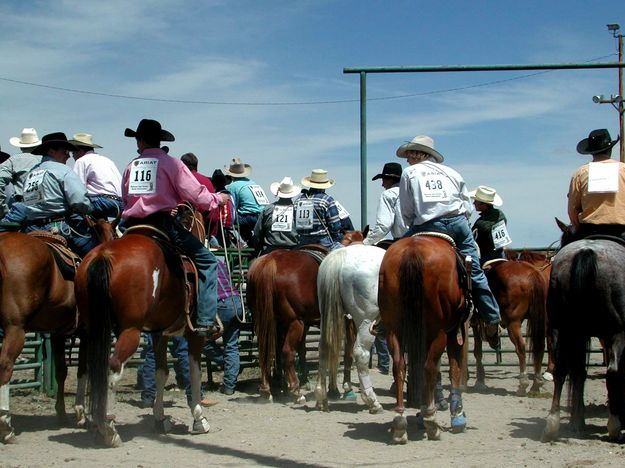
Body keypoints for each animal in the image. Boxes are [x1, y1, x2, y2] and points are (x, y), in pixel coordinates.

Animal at [0, 218, 114, 444]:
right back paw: (5, 426)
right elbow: (83, 369)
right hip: (15, 329)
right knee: (5, 365)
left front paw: (61, 413)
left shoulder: (58, 333)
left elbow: (61, 371)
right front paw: (81, 413)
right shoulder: (87, 333)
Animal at [77, 208, 208, 446]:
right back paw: (108, 428)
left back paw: (91, 420)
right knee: (113, 369)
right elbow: (195, 372)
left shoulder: (159, 334)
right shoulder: (195, 335)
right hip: (130, 331)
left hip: (92, 329)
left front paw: (160, 419)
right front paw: (199, 419)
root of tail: (104, 255)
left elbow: (161, 373)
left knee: (90, 367)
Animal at [376, 234, 468, 442]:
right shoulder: (454, 331)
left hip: (395, 329)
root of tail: (413, 250)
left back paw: (400, 421)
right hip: (439, 331)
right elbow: (454, 368)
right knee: (429, 368)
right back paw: (431, 422)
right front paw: (457, 415)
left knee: (399, 366)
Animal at [470, 260, 544, 394]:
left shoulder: (474, 324)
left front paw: (480, 381)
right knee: (539, 346)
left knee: (521, 347)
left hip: (513, 322)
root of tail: (532, 272)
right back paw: (536, 384)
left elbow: (477, 351)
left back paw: (523, 383)